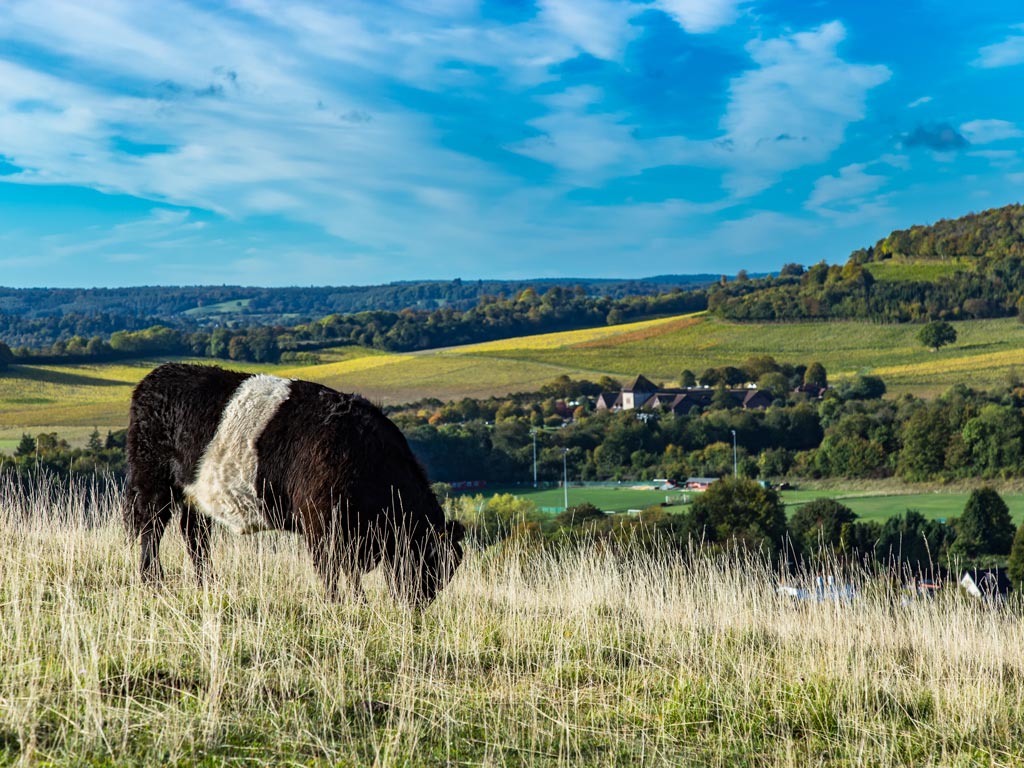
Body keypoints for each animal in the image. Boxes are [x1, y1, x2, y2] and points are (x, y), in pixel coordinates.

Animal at [123, 364, 464, 610]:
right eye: (430, 561)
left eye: (448, 569)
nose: (417, 606)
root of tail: (154, 377)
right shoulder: (322, 524)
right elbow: (331, 570)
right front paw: (339, 605)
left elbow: (349, 572)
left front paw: (358, 604)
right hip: (153, 481)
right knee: (151, 529)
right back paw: (152, 581)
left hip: (197, 494)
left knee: (195, 537)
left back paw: (207, 583)